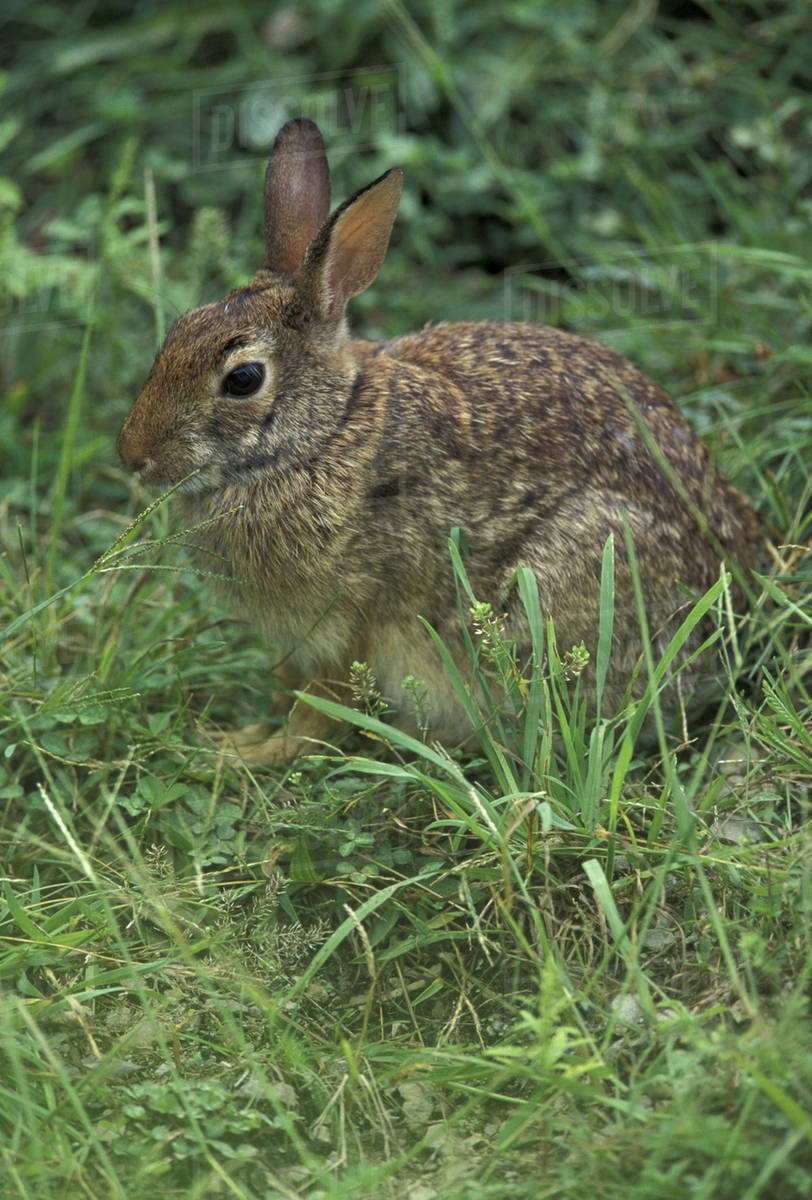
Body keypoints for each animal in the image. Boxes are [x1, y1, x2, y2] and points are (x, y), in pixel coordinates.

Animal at [117, 116, 763, 764]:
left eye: (244, 379)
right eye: (179, 331)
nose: (132, 457)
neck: (323, 435)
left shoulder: (354, 622)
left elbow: (318, 707)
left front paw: (246, 754)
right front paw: (243, 735)